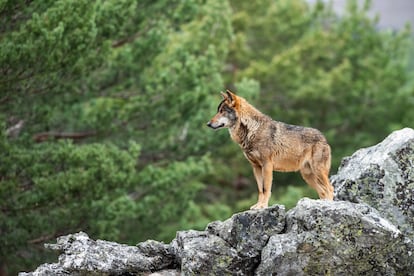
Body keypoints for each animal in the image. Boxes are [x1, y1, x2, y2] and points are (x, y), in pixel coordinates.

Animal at [206, 90, 334, 209]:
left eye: (222, 111)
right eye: (218, 110)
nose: (208, 124)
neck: (252, 130)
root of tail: (324, 138)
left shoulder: (267, 165)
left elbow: (266, 188)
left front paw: (263, 206)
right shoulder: (256, 167)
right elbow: (260, 190)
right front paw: (258, 206)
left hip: (318, 171)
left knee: (330, 188)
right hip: (307, 176)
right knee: (323, 191)